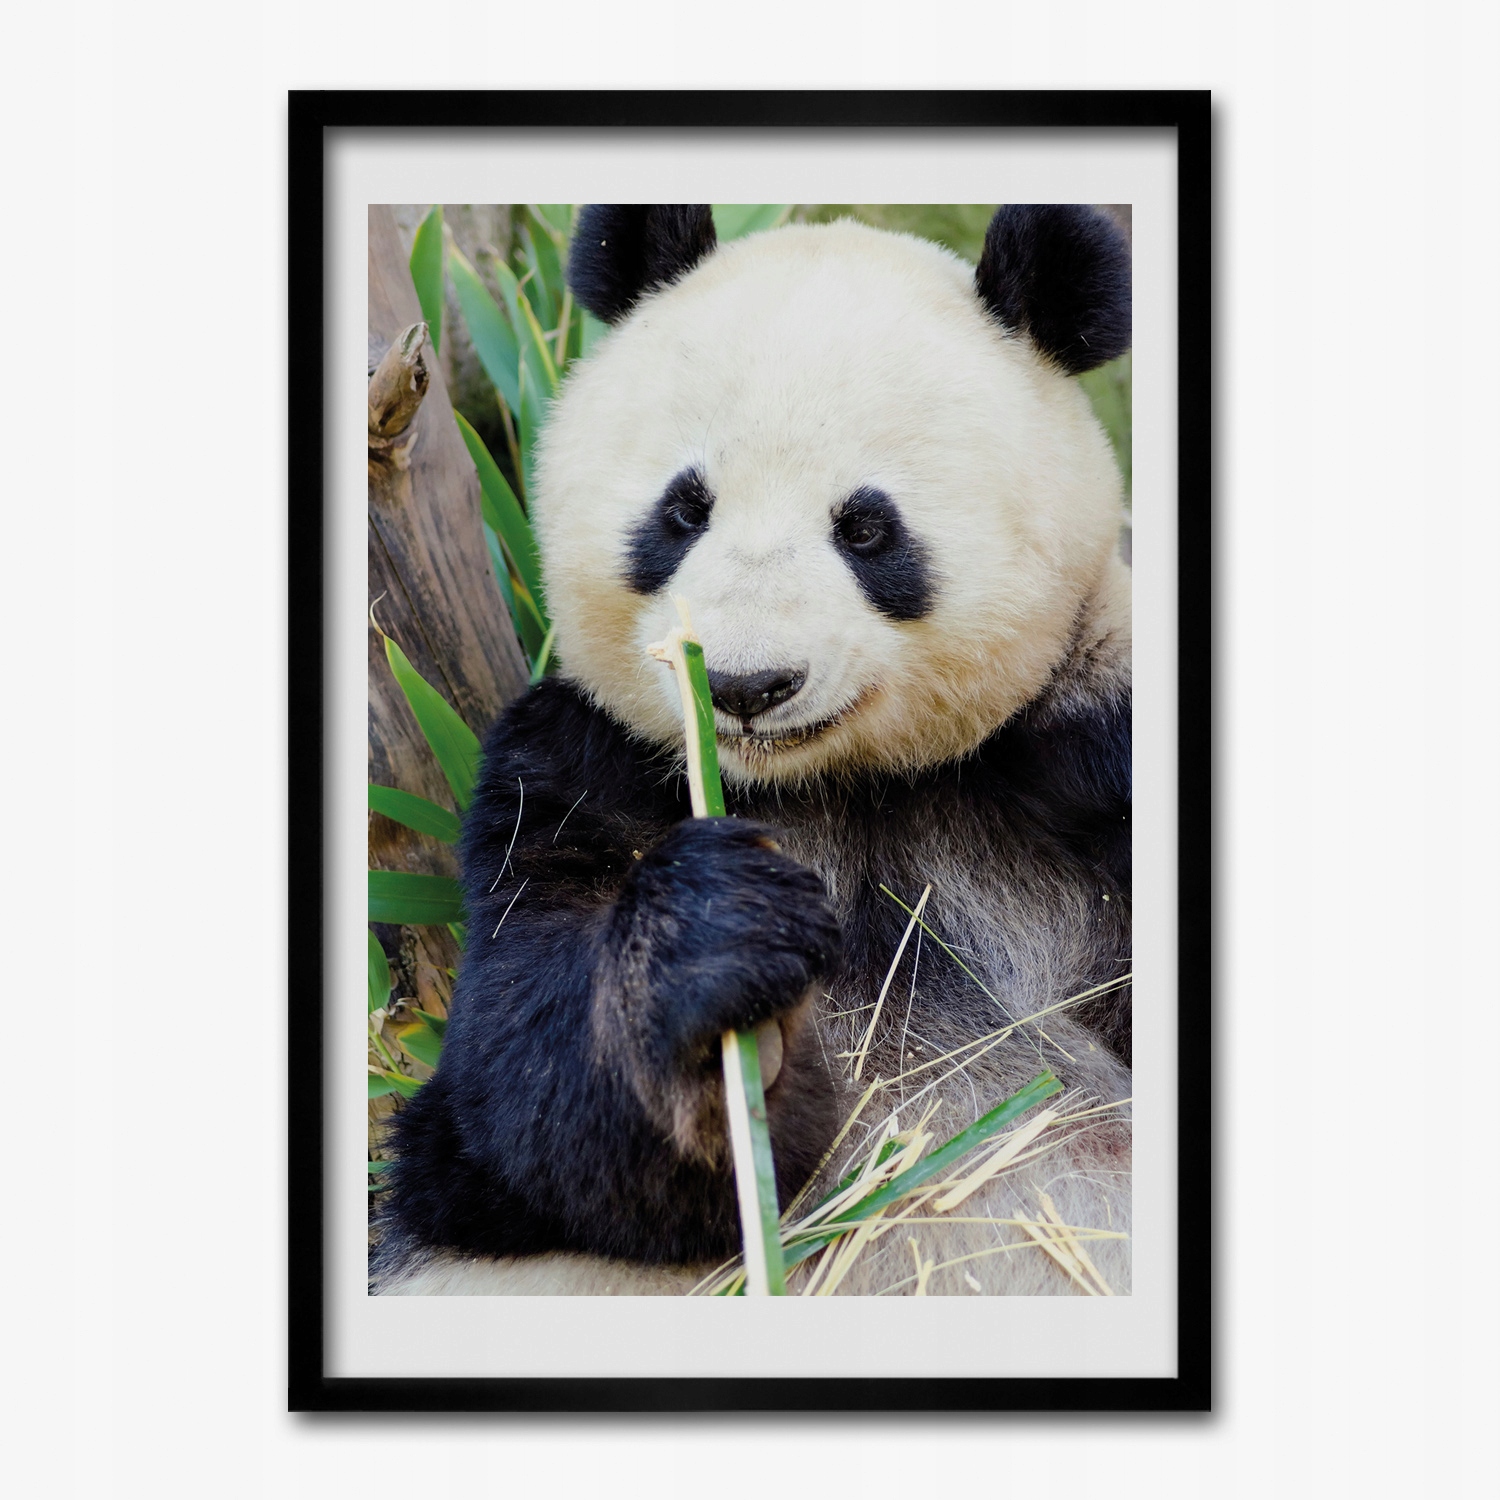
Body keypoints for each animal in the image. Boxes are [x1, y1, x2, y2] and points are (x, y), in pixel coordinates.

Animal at [374, 203, 1133, 1297]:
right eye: (684, 509)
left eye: (867, 529)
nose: (742, 685)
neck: (845, 786)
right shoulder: (576, 768)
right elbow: (521, 1110)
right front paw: (723, 951)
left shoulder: (1086, 754)